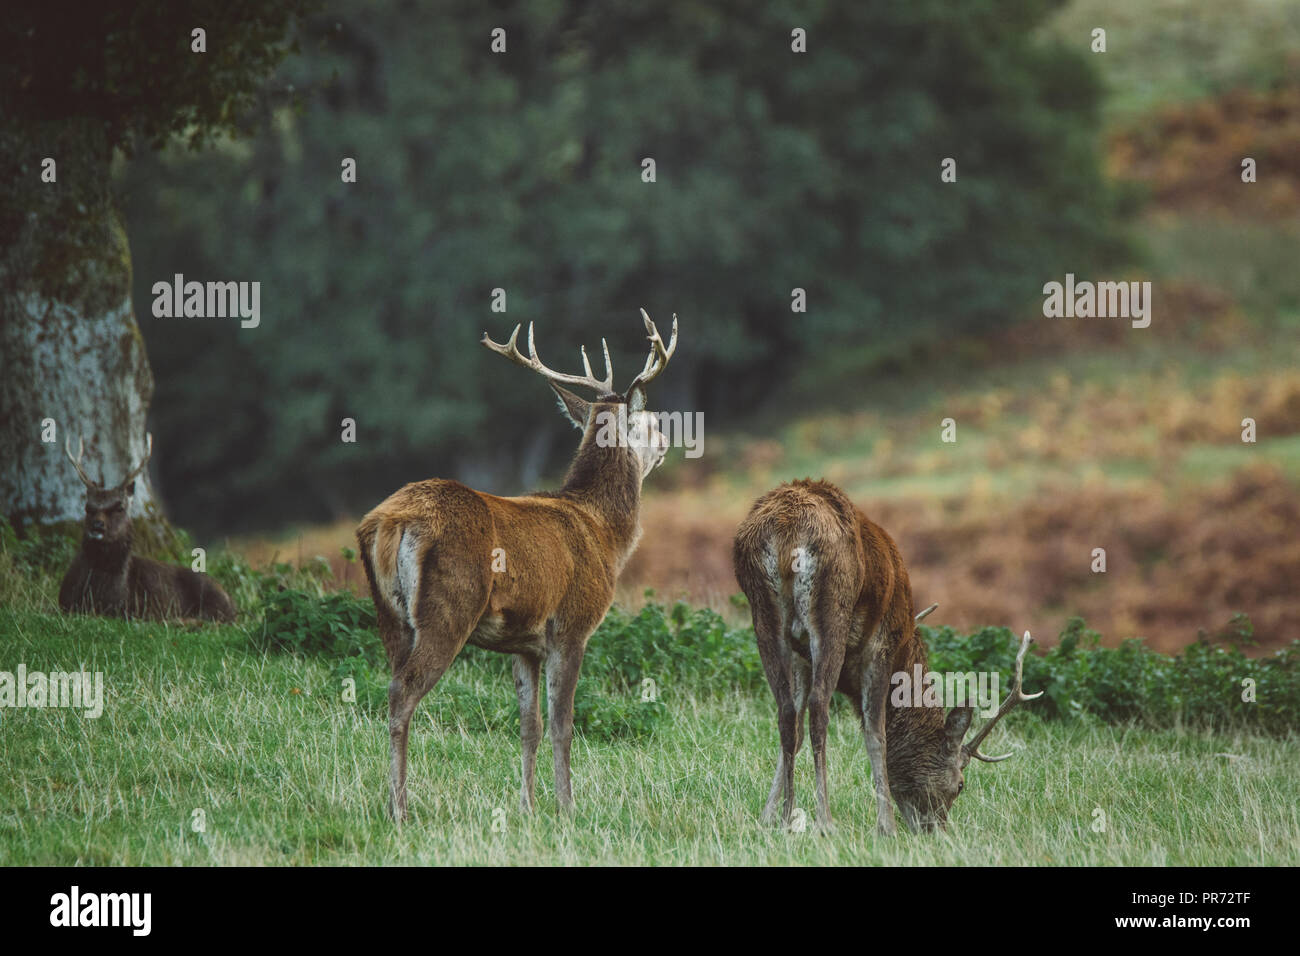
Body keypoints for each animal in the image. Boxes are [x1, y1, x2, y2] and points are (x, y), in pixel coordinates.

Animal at [58, 433, 237, 623]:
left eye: (119, 507)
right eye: (88, 508)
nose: (97, 526)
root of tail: (233, 603)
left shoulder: (133, 609)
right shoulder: (65, 604)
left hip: (213, 603)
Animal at [356, 310, 677, 822]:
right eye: (645, 421)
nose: (667, 438)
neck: (604, 535)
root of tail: (390, 523)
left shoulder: (525, 644)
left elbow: (529, 726)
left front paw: (527, 806)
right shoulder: (572, 625)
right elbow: (563, 724)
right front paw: (568, 807)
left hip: (388, 615)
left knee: (390, 685)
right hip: (448, 608)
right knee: (403, 693)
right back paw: (400, 809)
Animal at [732, 479, 1041, 835]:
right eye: (960, 785)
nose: (936, 830)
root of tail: (786, 528)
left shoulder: (801, 658)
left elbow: (792, 732)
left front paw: (769, 817)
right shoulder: (880, 645)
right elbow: (875, 732)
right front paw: (886, 825)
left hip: (763, 614)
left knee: (785, 713)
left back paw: (786, 817)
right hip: (830, 609)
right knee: (819, 709)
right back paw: (826, 820)